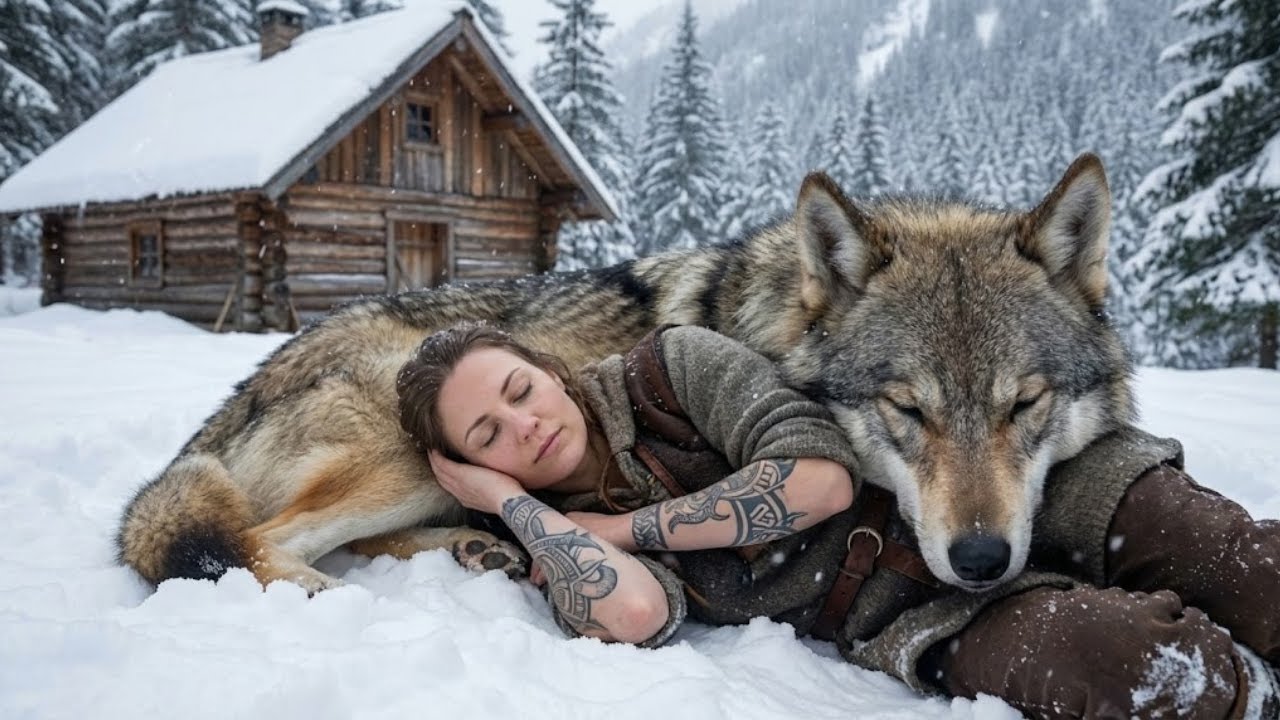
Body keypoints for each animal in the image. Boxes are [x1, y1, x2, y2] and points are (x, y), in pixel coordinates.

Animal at [117, 153, 1132, 594]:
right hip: (398, 464)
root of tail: (250, 382)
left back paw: (478, 552)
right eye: (906, 410)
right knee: (265, 542)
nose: (981, 561)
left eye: (1025, 404)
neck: (765, 327)